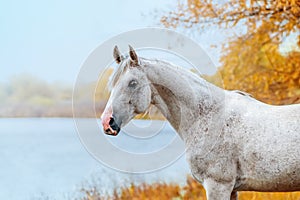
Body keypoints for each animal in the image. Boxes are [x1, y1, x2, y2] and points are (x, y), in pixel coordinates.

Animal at [101, 45, 300, 200]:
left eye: (133, 83)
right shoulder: (231, 189)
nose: (107, 122)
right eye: (113, 83)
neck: (206, 116)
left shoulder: (218, 185)